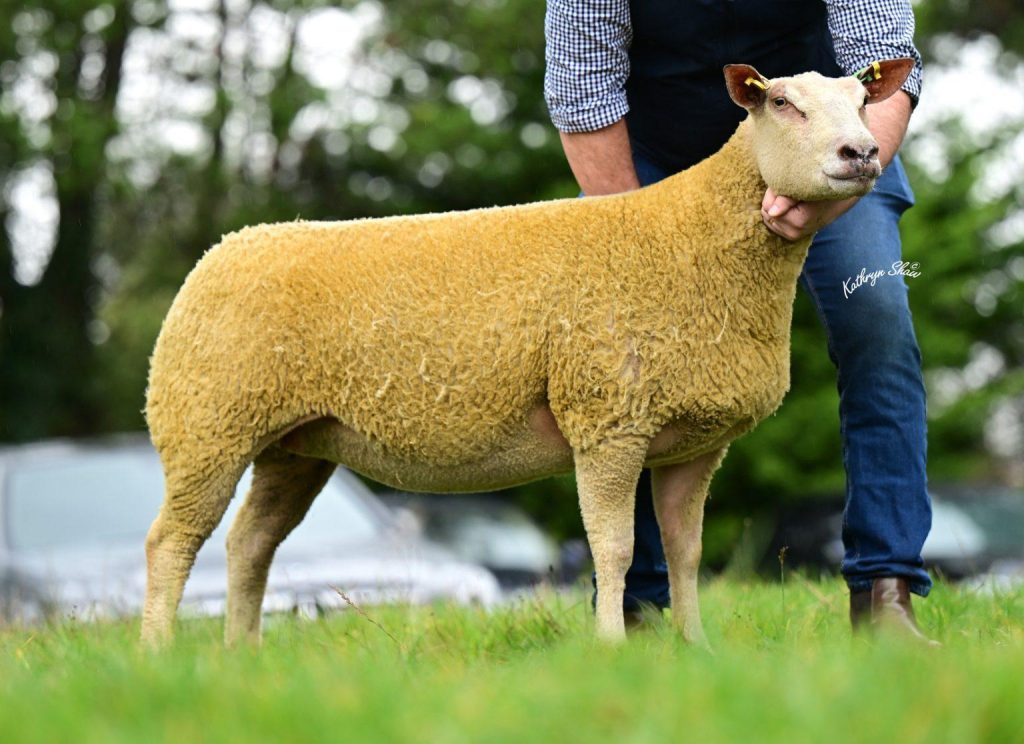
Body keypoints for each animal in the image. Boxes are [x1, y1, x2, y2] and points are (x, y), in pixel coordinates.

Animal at [141, 59, 914, 647]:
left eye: (861, 103)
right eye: (782, 103)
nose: (861, 153)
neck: (689, 240)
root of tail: (224, 248)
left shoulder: (696, 440)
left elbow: (686, 553)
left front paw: (694, 648)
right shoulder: (607, 420)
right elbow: (616, 548)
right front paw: (612, 646)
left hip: (294, 442)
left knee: (249, 544)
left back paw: (242, 654)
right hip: (208, 424)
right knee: (172, 542)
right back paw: (160, 655)